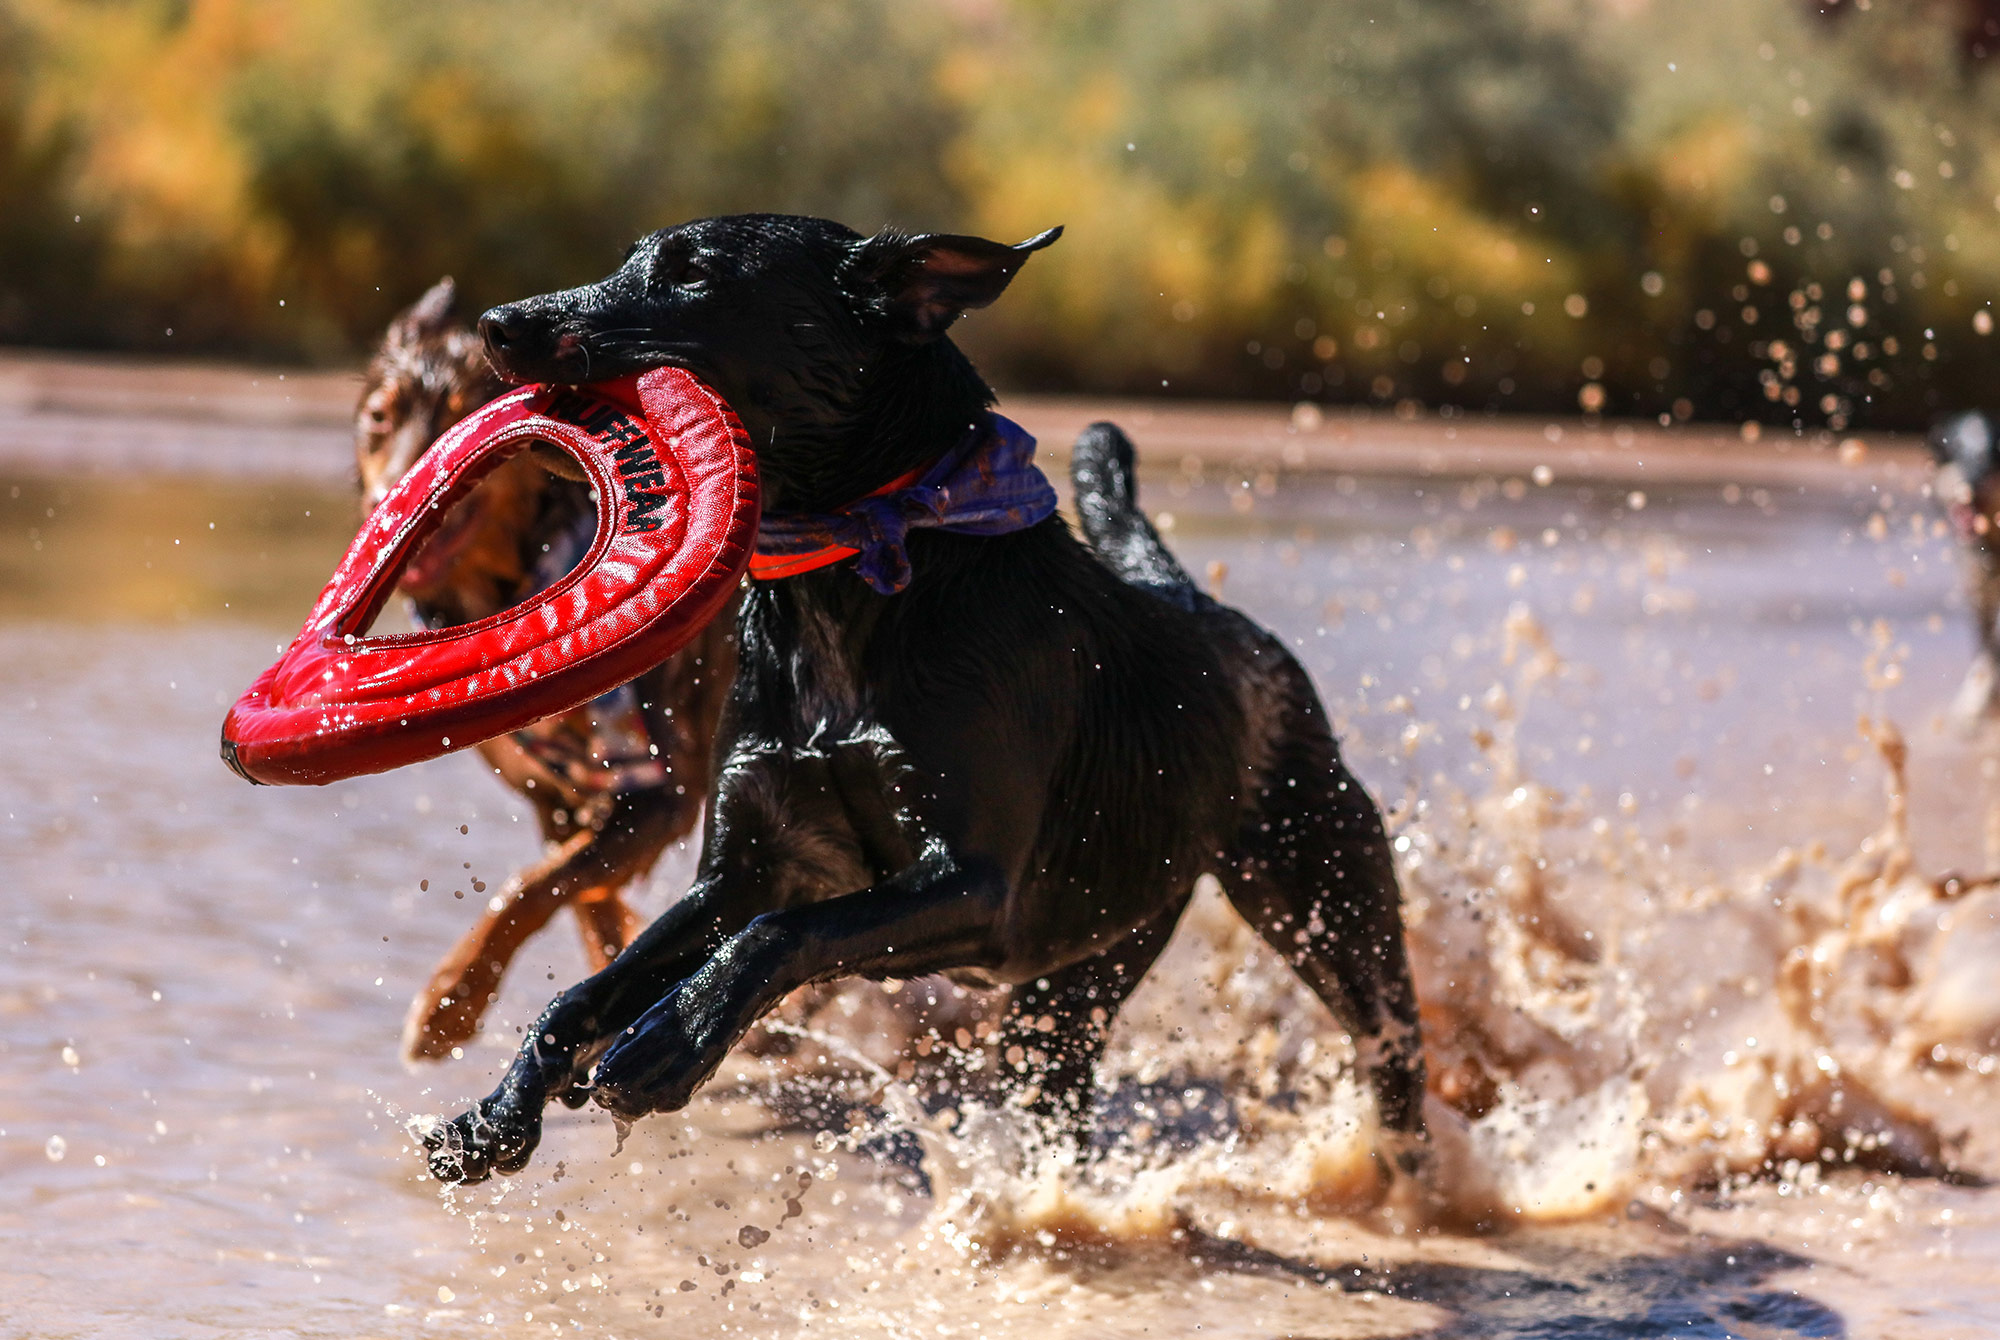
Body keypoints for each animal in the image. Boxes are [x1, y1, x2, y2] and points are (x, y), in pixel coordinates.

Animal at [356, 278, 740, 1064]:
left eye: (463, 414)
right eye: (381, 417)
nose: (389, 504)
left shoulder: (663, 790)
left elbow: (534, 889)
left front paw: (449, 1004)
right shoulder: (550, 799)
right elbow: (582, 898)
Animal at [426, 213, 1424, 1184]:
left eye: (694, 272)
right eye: (632, 256)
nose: (497, 325)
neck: (849, 582)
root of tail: (1198, 604)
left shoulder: (973, 888)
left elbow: (781, 934)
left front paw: (670, 1043)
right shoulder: (742, 867)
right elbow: (592, 987)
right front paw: (496, 1113)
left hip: (1328, 900)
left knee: (1392, 1049)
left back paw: (1408, 1180)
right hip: (1086, 972)